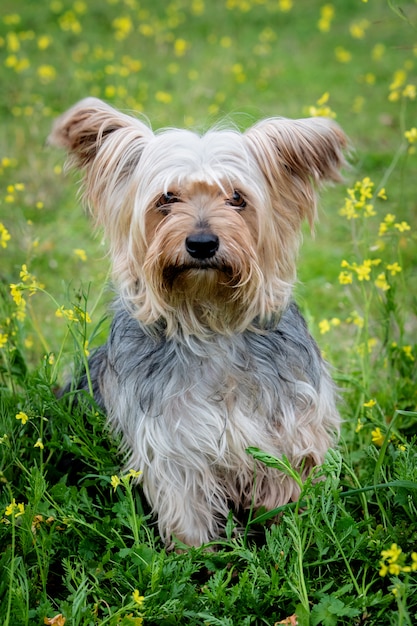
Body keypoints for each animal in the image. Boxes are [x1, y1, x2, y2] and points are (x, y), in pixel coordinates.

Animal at [48, 98, 344, 544]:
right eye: (167, 198)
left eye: (236, 198)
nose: (201, 243)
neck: (210, 319)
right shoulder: (173, 447)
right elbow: (187, 515)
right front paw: (198, 557)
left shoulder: (288, 429)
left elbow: (286, 497)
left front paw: (291, 537)